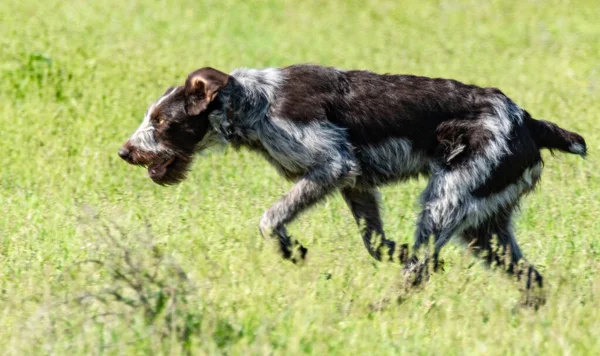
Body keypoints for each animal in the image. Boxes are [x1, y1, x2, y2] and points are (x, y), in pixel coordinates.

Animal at [117, 63, 584, 286]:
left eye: (161, 122)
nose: (124, 152)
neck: (255, 102)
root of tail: (529, 121)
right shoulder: (356, 182)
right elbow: (374, 241)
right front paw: (391, 249)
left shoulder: (334, 164)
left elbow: (270, 219)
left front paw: (290, 248)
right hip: (484, 227)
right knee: (531, 278)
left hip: (445, 202)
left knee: (421, 271)